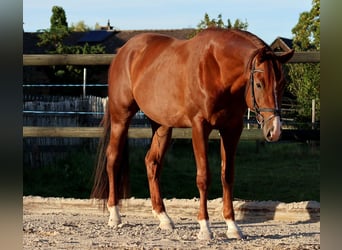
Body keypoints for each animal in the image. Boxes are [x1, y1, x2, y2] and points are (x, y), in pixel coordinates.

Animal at [91, 27, 294, 240]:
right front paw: (205, 228)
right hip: (121, 117)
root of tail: (123, 52)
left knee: (152, 162)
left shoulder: (232, 129)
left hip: (162, 125)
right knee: (113, 159)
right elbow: (203, 177)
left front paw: (232, 226)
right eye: (259, 84)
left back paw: (163, 217)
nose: (275, 130)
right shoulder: (199, 127)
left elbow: (227, 176)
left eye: (281, 84)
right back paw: (114, 215)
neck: (216, 68)